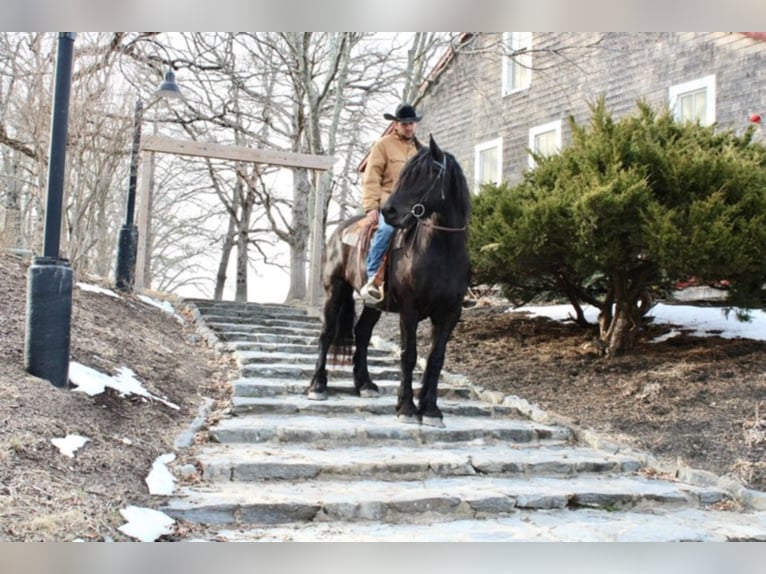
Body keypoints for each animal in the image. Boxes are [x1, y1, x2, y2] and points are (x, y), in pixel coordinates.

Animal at [308, 136, 472, 428]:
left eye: (424, 174)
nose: (388, 211)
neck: (441, 251)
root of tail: (339, 232)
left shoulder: (450, 314)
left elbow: (435, 359)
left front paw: (431, 410)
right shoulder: (409, 309)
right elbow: (409, 355)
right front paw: (406, 407)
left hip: (374, 305)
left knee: (362, 334)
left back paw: (364, 384)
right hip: (334, 291)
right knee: (326, 334)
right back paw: (318, 385)